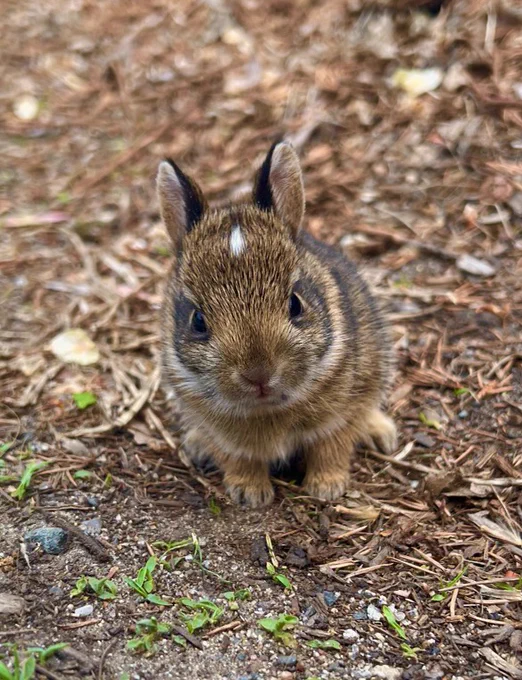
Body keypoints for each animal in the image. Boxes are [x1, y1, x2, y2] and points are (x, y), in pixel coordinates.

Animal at [157, 141, 397, 508]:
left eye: (295, 304)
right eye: (198, 321)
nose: (258, 374)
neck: (267, 407)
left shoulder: (340, 416)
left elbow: (331, 450)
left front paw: (326, 488)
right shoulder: (225, 438)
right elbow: (239, 461)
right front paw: (250, 494)